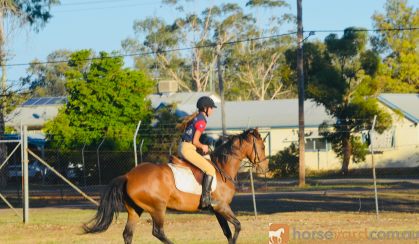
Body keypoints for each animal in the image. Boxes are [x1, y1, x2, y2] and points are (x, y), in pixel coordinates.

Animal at [84, 129, 270, 243]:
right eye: (262, 146)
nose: (265, 168)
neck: (222, 167)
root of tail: (129, 175)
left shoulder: (217, 210)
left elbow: (228, 232)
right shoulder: (222, 207)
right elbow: (237, 226)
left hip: (135, 210)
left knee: (128, 234)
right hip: (157, 208)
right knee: (158, 232)